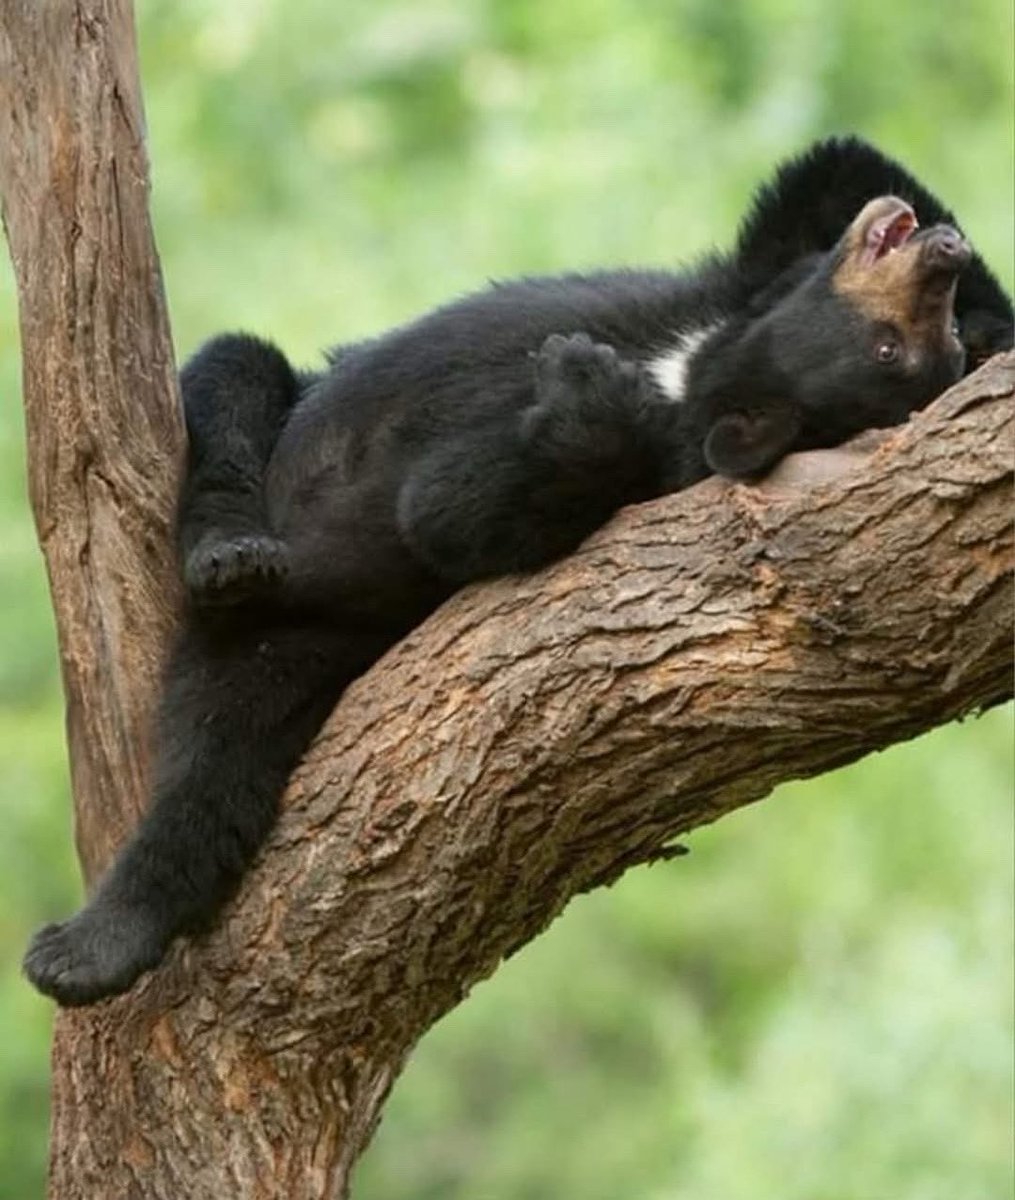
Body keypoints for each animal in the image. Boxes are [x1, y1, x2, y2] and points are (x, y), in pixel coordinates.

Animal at [24, 136, 1013, 1006]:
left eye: (895, 352)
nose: (940, 254)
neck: (691, 371)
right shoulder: (723, 288)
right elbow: (821, 173)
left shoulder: (650, 465)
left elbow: (447, 511)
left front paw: (583, 384)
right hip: (271, 453)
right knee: (234, 374)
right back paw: (232, 553)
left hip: (300, 643)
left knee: (212, 769)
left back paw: (83, 950)